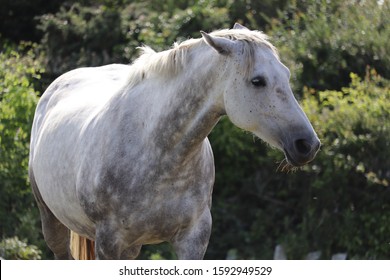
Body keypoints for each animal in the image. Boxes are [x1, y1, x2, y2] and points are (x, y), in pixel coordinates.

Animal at [28, 23, 320, 260]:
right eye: (257, 81)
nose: (307, 144)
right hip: (52, 221)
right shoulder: (108, 242)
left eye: (286, 74)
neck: (158, 152)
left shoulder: (193, 238)